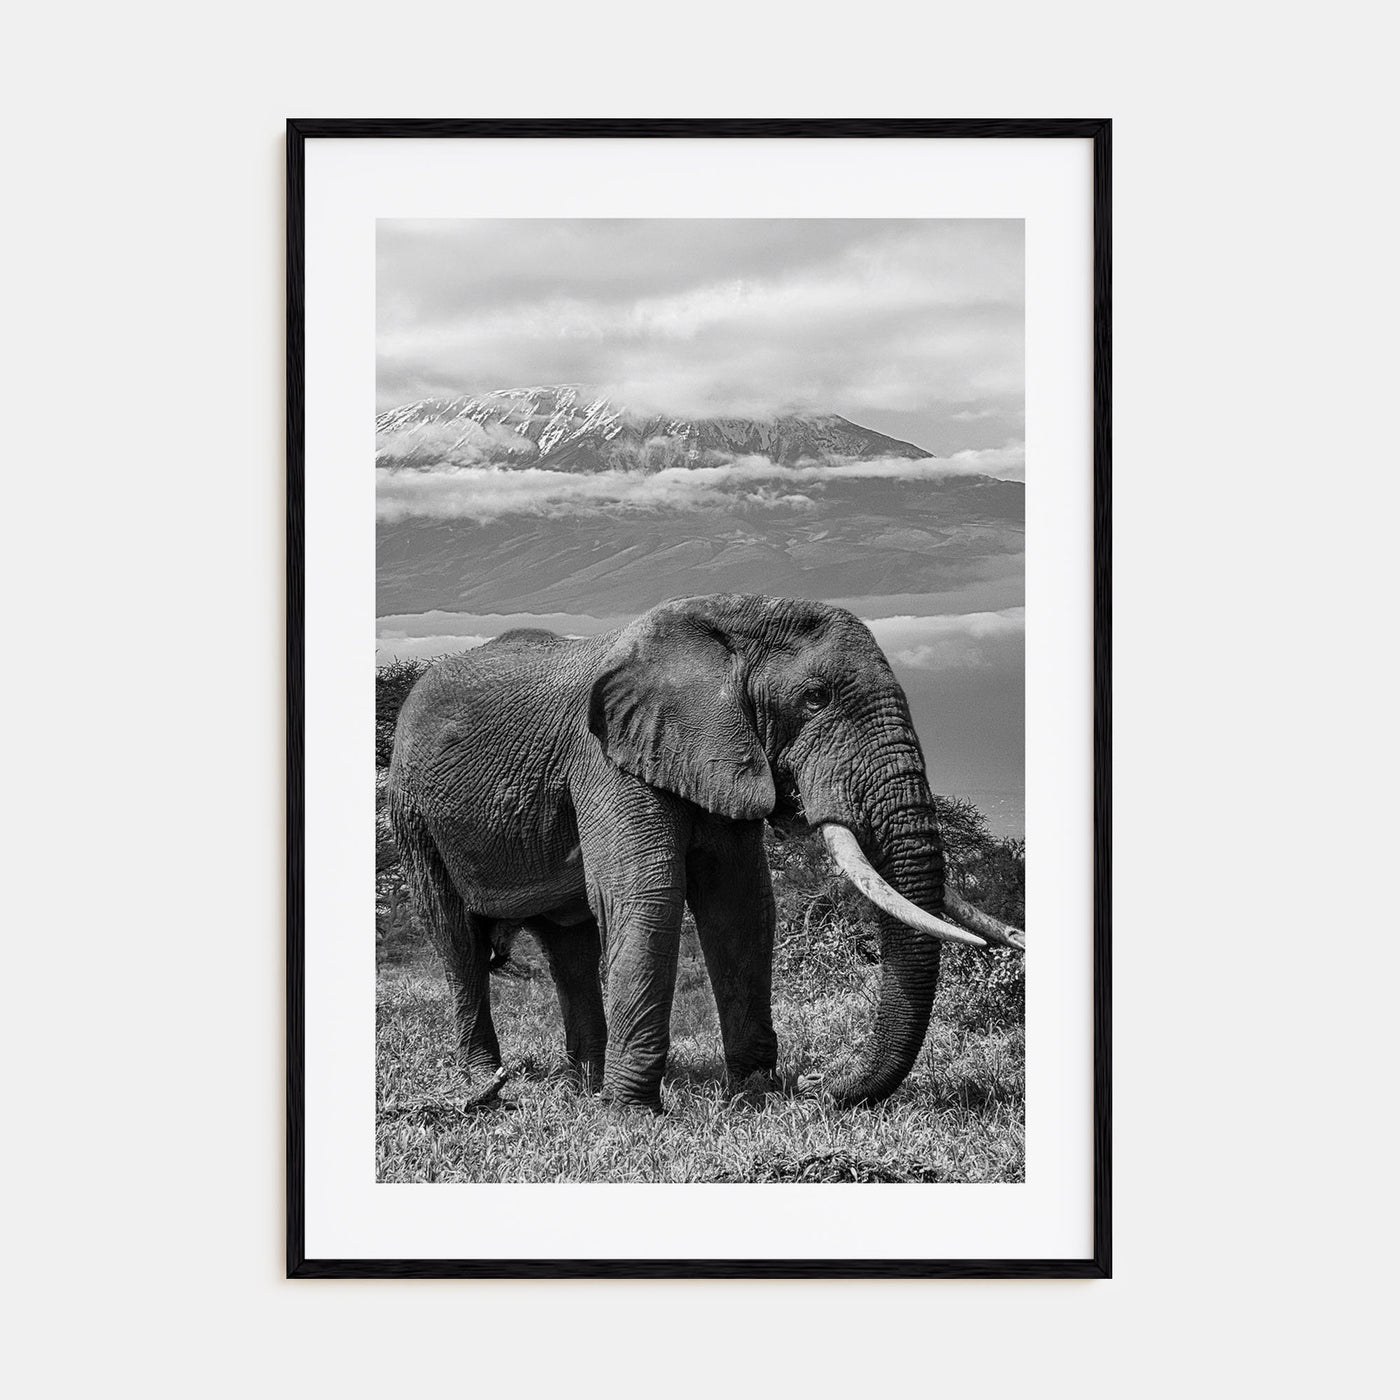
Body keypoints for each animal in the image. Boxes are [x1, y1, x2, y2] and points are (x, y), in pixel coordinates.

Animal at [388, 593, 1024, 1111]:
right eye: (815, 699)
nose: (820, 1086)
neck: (730, 621)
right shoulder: (606, 760)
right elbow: (647, 895)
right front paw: (633, 1118)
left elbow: (739, 905)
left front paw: (753, 1098)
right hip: (413, 813)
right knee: (456, 938)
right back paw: (489, 1084)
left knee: (570, 946)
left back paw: (584, 1087)